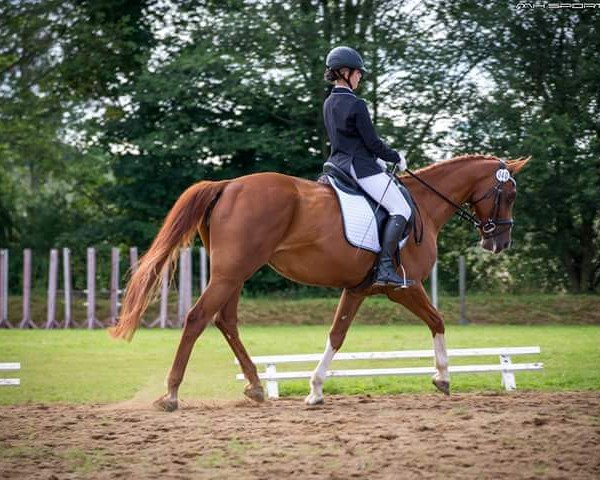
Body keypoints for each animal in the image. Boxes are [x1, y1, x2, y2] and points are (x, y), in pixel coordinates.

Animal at [110, 155, 528, 412]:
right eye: (508, 193)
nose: (500, 243)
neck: (424, 204)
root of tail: (227, 184)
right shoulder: (403, 287)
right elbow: (437, 320)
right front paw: (443, 376)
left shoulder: (359, 288)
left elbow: (337, 335)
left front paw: (314, 390)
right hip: (232, 272)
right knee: (198, 318)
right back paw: (171, 394)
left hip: (235, 274)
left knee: (225, 320)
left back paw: (255, 386)